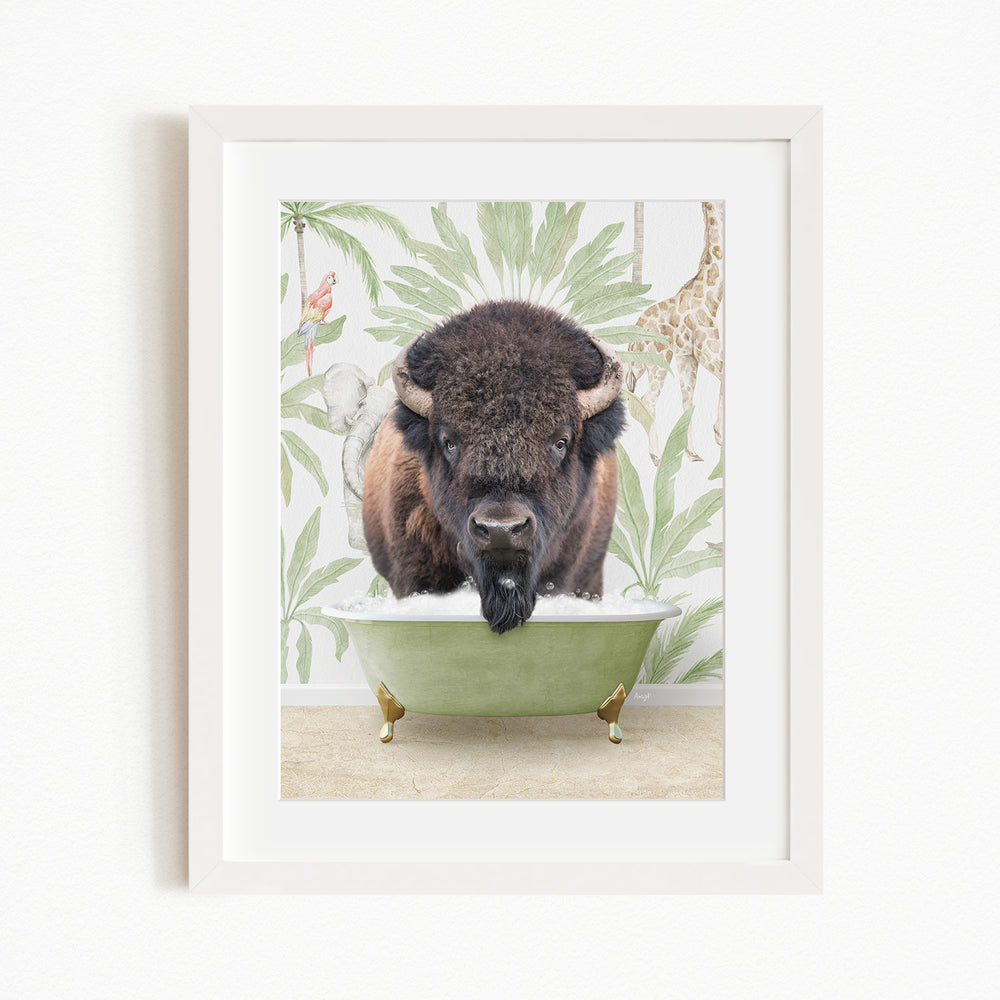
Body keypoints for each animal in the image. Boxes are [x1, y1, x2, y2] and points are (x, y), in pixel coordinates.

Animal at [625, 201, 724, 463]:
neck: (711, 298)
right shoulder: (708, 353)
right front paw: (718, 435)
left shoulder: (687, 357)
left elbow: (688, 403)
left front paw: (694, 451)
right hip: (659, 362)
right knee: (648, 401)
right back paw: (656, 456)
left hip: (642, 366)